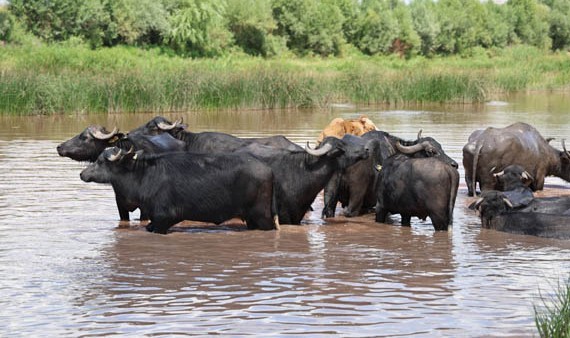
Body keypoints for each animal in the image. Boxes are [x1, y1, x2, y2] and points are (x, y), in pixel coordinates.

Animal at [79, 148, 276, 235]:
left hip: (262, 215)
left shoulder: (163, 218)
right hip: (250, 218)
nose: (82, 174)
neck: (142, 176)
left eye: (100, 161)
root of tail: (268, 169)